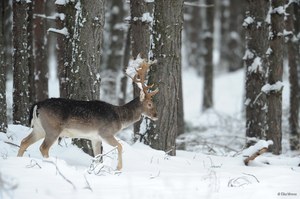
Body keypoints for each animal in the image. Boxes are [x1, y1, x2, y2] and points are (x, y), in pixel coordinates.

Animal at [17, 58, 158, 170]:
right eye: (150, 104)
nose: (156, 115)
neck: (119, 118)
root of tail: (38, 105)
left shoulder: (95, 138)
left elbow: (97, 156)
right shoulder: (106, 132)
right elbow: (119, 146)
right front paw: (118, 169)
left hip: (39, 128)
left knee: (24, 141)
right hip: (53, 128)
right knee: (43, 147)